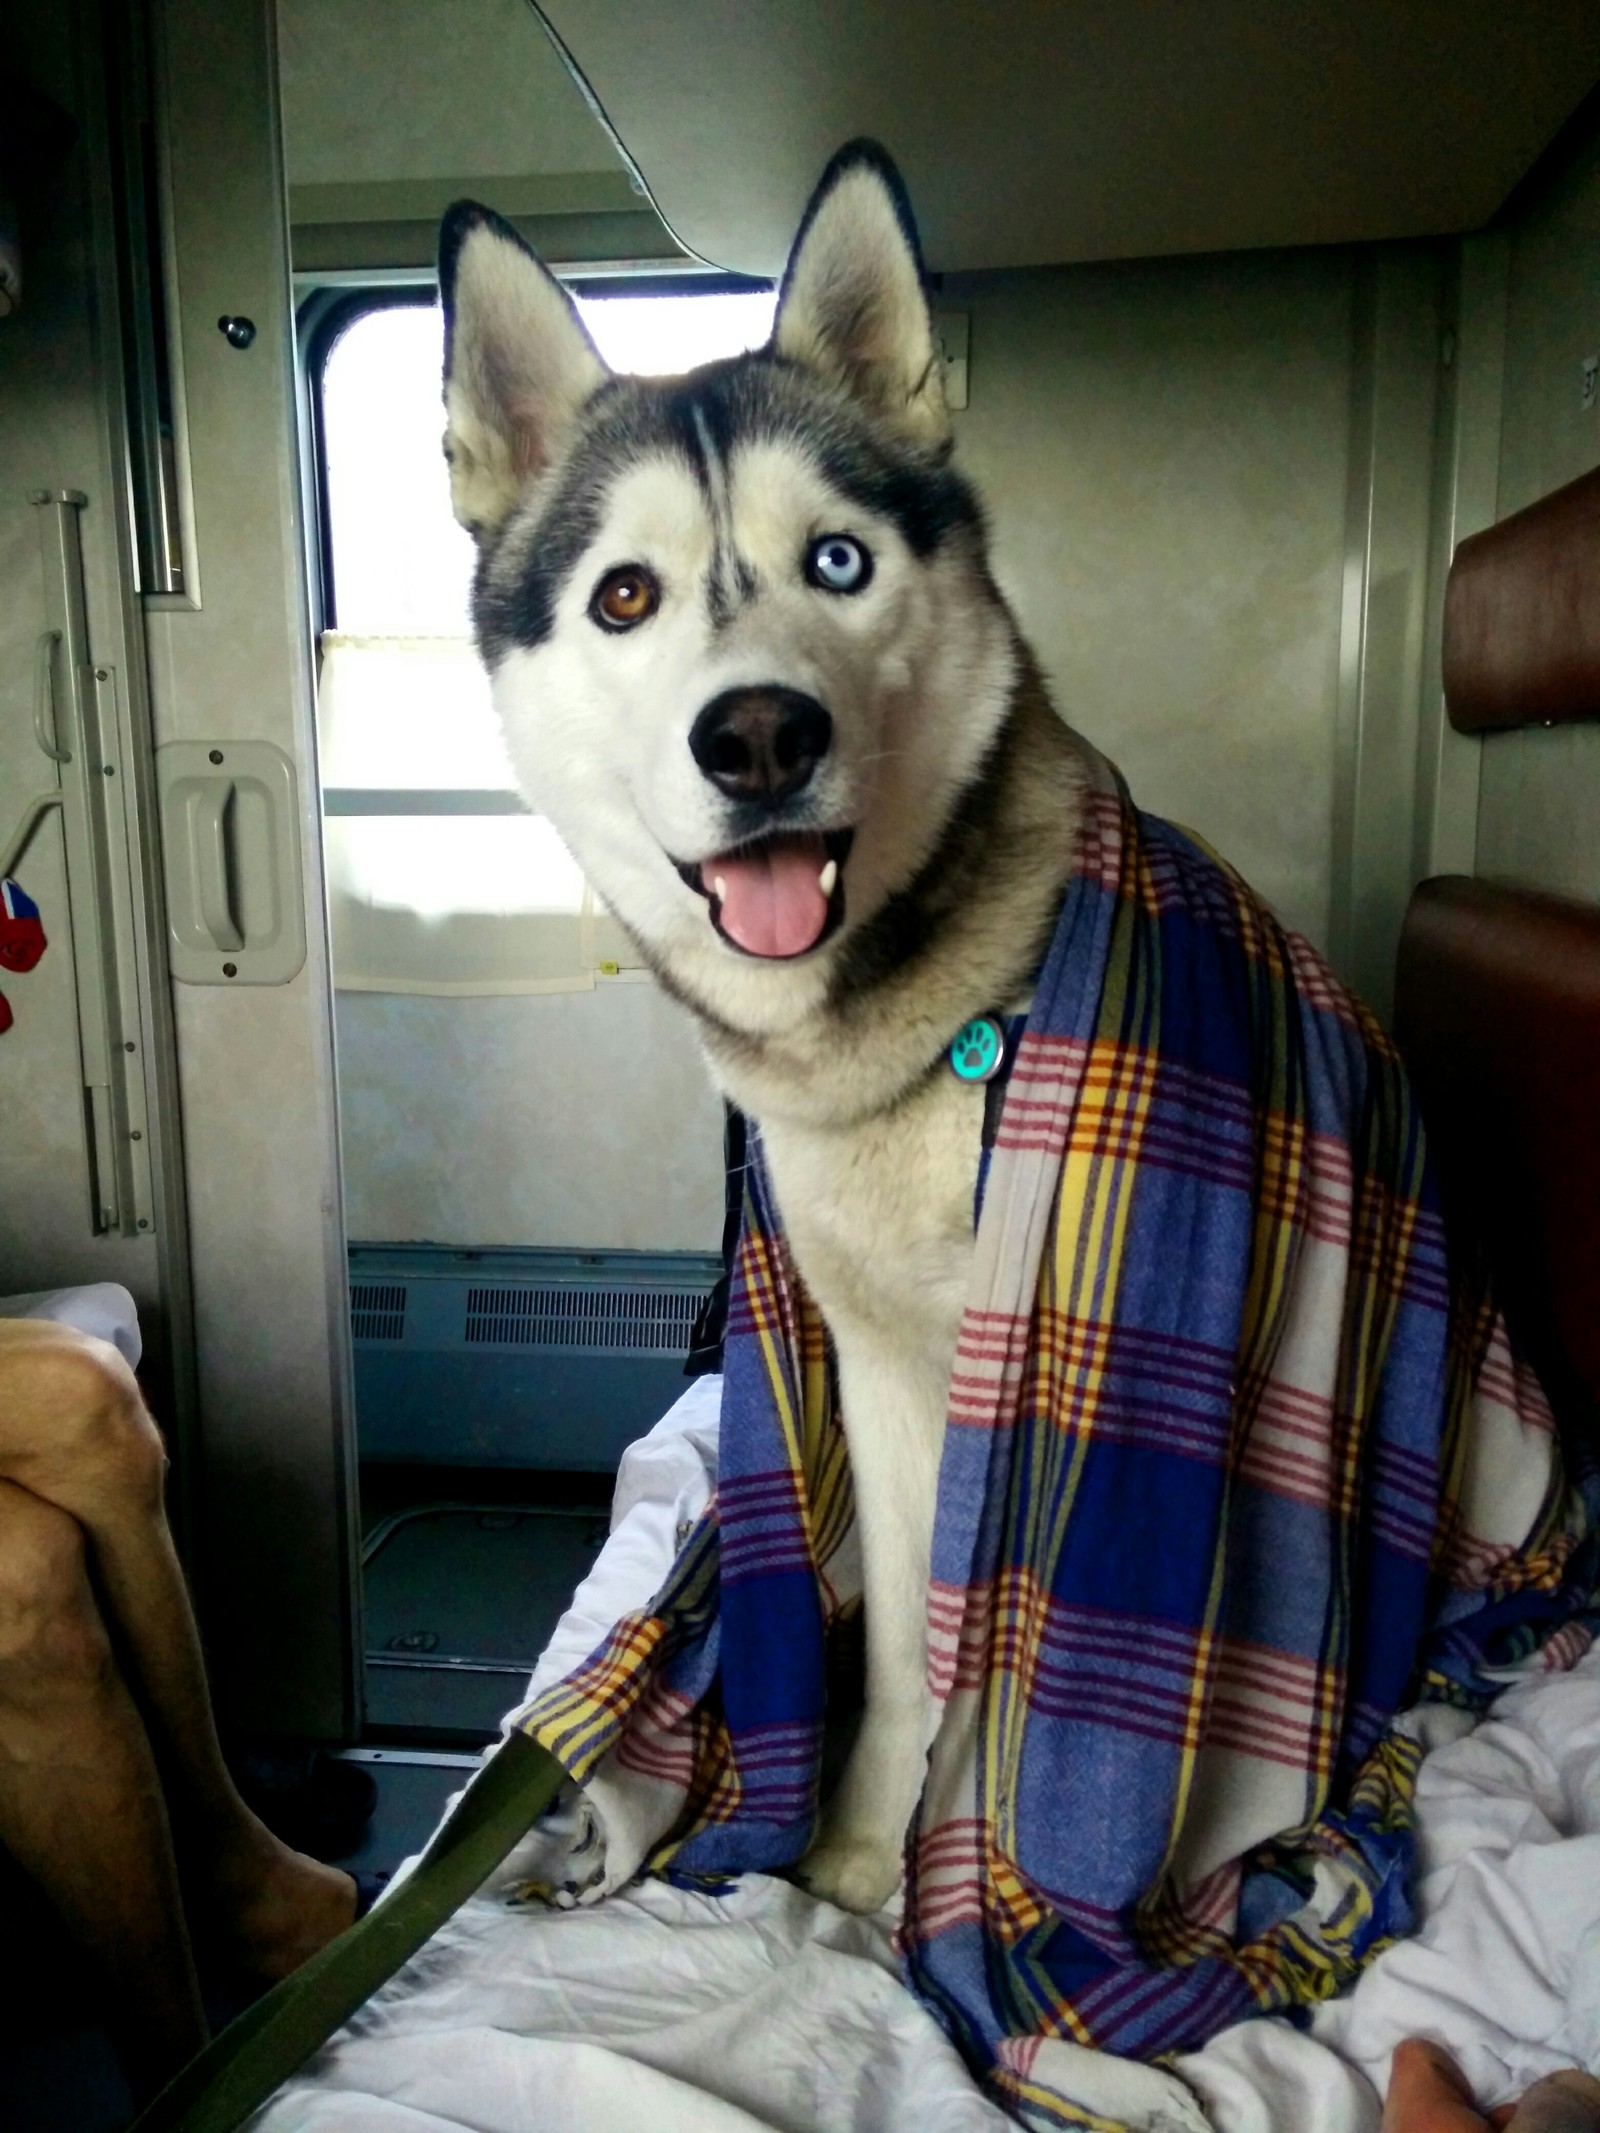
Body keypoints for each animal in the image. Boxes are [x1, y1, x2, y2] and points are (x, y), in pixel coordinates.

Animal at [439, 150, 1092, 1919]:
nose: (756, 734)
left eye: (841, 565)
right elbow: (908, 1660)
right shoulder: (878, 1369)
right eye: (625, 595)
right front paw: (859, 1860)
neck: (912, 1046)